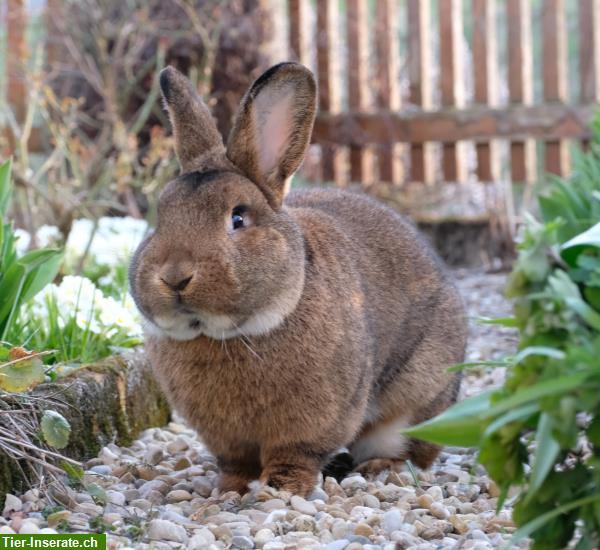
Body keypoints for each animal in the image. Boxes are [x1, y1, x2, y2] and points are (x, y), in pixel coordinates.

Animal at [130, 62, 468, 498]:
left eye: (238, 217)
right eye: (160, 217)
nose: (174, 277)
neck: (229, 334)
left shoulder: (312, 423)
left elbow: (295, 456)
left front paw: (280, 489)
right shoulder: (226, 439)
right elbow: (235, 463)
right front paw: (229, 490)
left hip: (416, 402)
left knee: (412, 451)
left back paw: (381, 468)